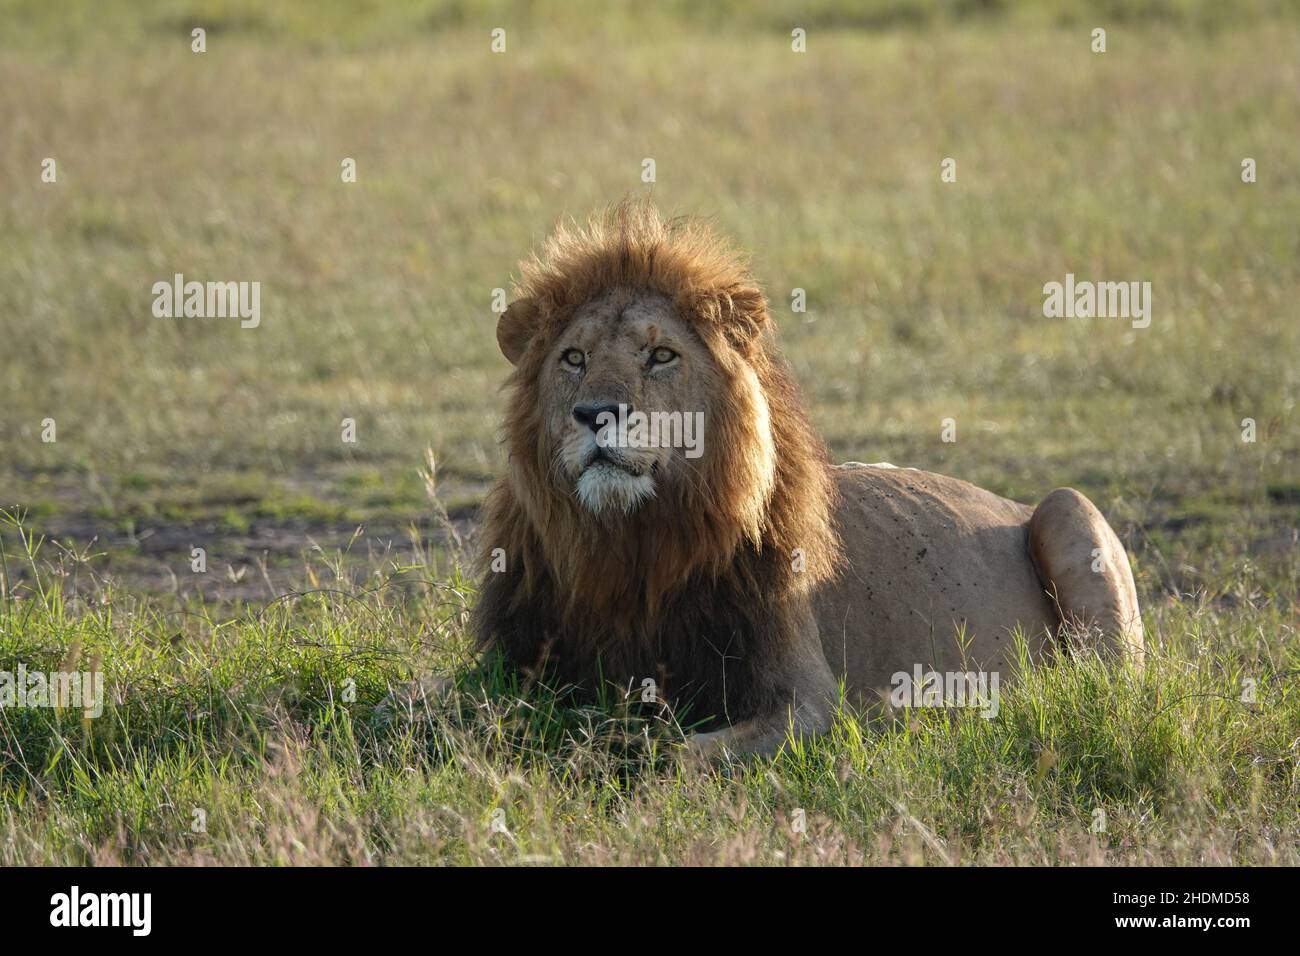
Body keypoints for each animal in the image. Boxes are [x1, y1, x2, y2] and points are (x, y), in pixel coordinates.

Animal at [472, 200, 1144, 757]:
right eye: (573, 358)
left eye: (661, 356)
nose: (596, 414)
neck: (629, 547)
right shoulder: (505, 665)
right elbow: (453, 711)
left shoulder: (812, 705)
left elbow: (674, 755)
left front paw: (610, 751)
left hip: (1068, 508)